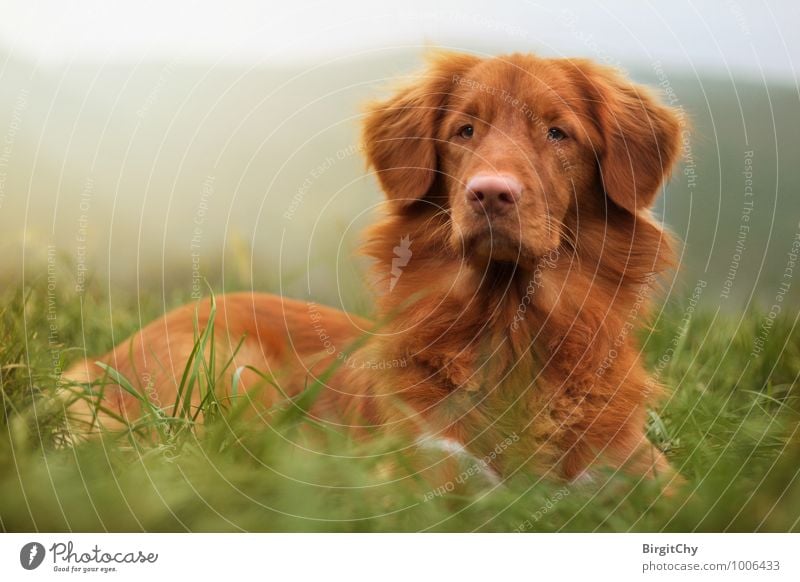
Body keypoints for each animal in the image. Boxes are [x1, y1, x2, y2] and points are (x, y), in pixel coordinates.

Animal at [65, 51, 684, 488]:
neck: (510, 328)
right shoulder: (418, 473)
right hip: (229, 372)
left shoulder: (641, 475)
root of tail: (103, 358)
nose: (490, 194)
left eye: (558, 133)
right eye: (464, 131)